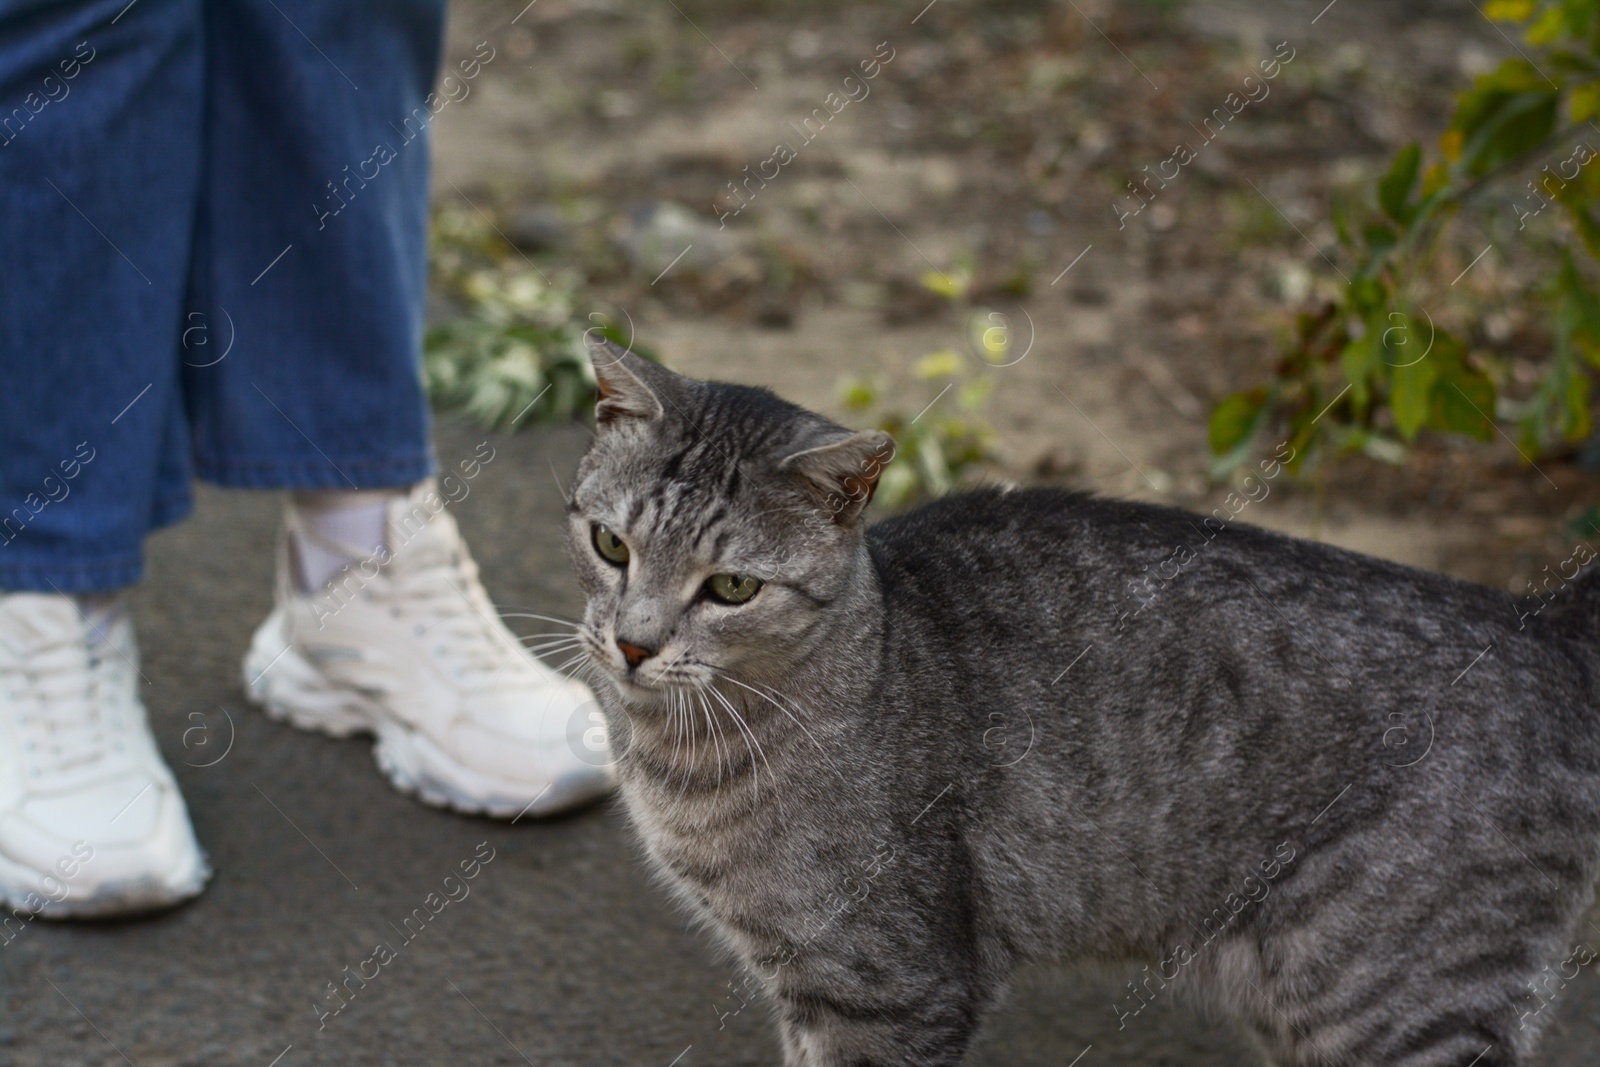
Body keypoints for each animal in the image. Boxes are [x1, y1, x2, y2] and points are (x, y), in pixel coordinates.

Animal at [563, 340, 1600, 1067]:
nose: (634, 643)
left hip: (1396, 997)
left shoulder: (890, 984)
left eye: (732, 587)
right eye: (611, 544)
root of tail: (1537, 620)